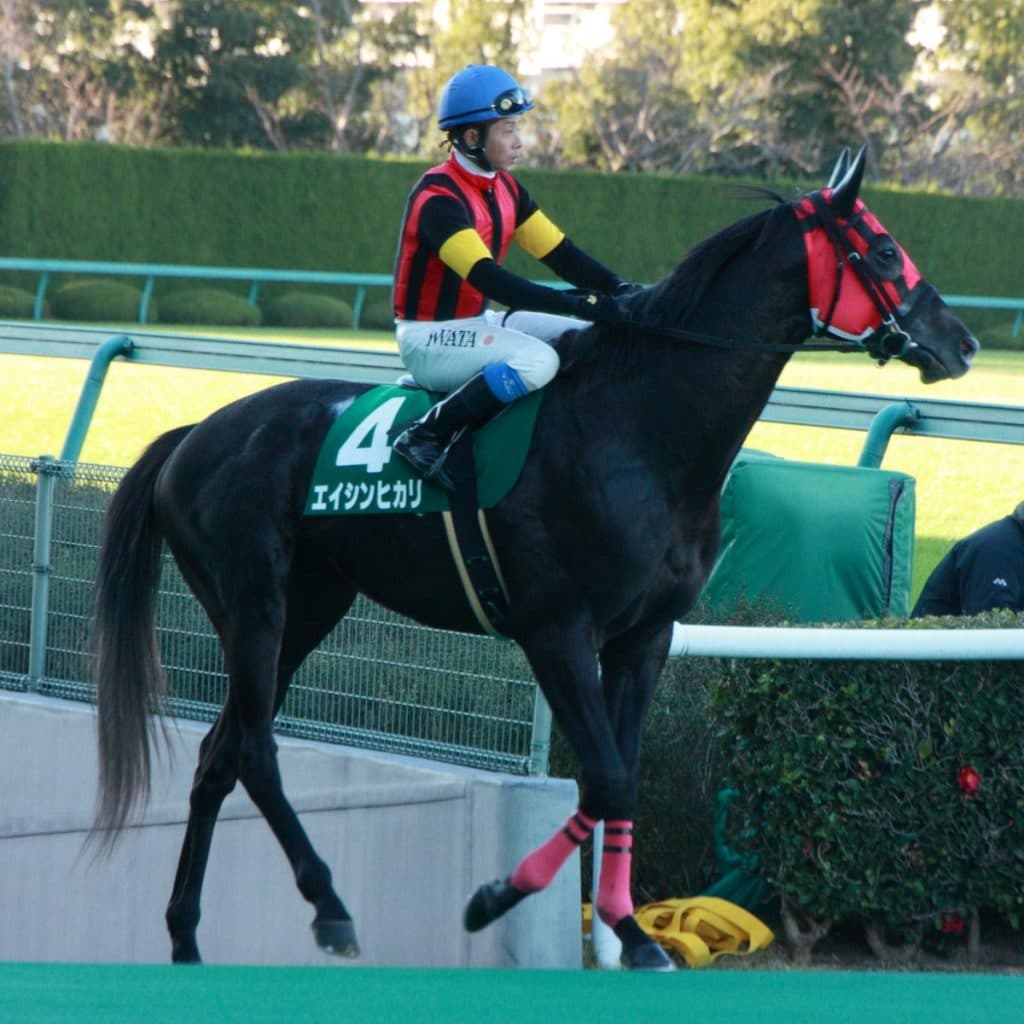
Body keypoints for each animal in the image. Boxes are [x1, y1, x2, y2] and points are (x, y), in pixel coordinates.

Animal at [89, 147, 977, 969]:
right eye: (885, 251)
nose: (961, 342)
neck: (640, 429)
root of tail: (192, 437)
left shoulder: (643, 637)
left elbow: (617, 776)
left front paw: (629, 930)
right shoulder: (556, 630)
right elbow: (608, 776)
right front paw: (497, 899)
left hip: (311, 604)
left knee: (219, 754)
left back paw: (185, 936)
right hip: (254, 601)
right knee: (254, 752)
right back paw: (330, 908)